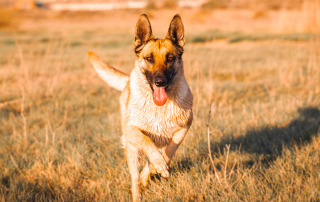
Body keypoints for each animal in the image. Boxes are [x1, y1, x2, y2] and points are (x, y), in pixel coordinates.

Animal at [88, 13, 192, 201]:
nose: (160, 82)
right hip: (132, 149)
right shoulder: (131, 130)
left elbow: (170, 150)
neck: (159, 107)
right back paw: (138, 191)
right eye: (149, 58)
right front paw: (159, 165)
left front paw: (159, 167)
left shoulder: (184, 128)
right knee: (134, 180)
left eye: (170, 58)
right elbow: (147, 142)